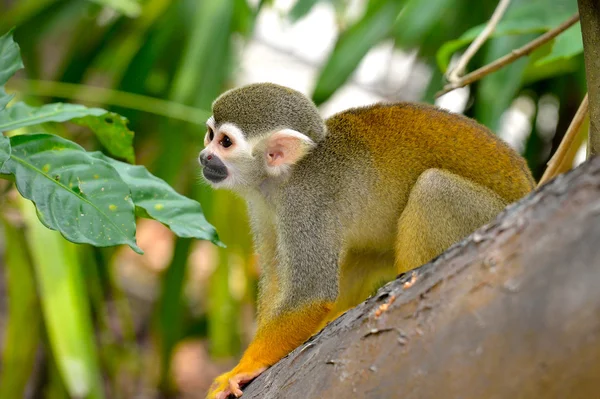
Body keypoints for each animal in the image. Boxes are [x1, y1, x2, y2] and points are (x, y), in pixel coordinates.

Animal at [199, 83, 532, 398]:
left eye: (225, 142)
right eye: (210, 134)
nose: (204, 156)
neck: (285, 175)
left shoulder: (306, 202)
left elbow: (311, 293)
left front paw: (244, 367)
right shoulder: (261, 203)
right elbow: (277, 281)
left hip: (484, 214)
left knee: (433, 187)